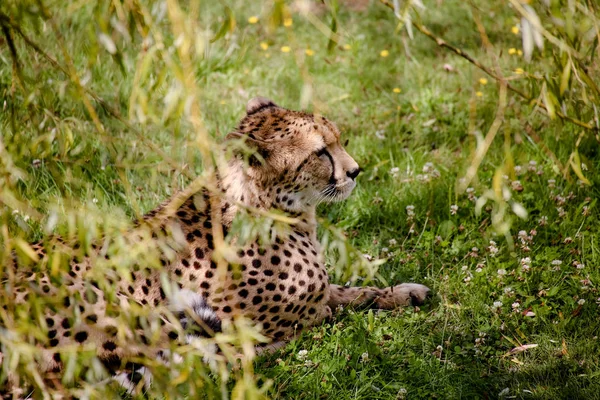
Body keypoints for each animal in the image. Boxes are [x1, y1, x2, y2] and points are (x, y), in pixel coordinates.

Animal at [1, 97, 432, 390]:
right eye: (320, 153)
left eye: (338, 140)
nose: (356, 171)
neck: (265, 205)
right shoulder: (283, 315)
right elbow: (328, 312)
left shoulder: (317, 293)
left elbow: (352, 292)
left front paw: (403, 292)